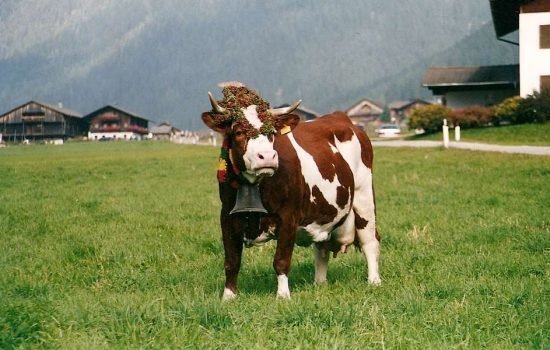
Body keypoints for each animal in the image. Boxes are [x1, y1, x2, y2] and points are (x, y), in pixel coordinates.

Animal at [204, 82, 384, 300]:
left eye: (272, 132)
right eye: (238, 132)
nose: (267, 157)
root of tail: (341, 117)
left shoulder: (288, 217)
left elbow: (281, 261)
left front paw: (283, 296)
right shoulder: (227, 218)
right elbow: (231, 262)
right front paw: (228, 297)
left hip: (364, 195)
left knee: (370, 241)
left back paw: (374, 281)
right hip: (322, 212)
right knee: (321, 248)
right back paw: (320, 283)